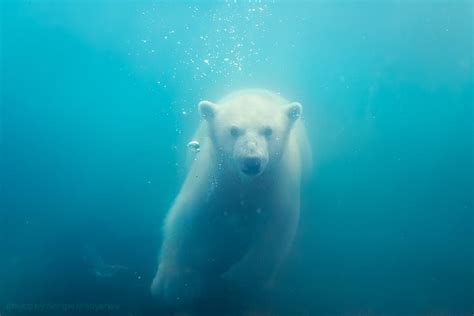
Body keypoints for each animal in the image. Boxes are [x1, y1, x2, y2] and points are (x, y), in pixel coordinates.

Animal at [152, 88, 312, 304]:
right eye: (234, 130)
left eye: (268, 130)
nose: (251, 162)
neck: (245, 183)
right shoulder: (214, 175)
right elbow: (185, 214)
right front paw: (172, 283)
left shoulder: (278, 179)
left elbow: (276, 227)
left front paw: (238, 279)